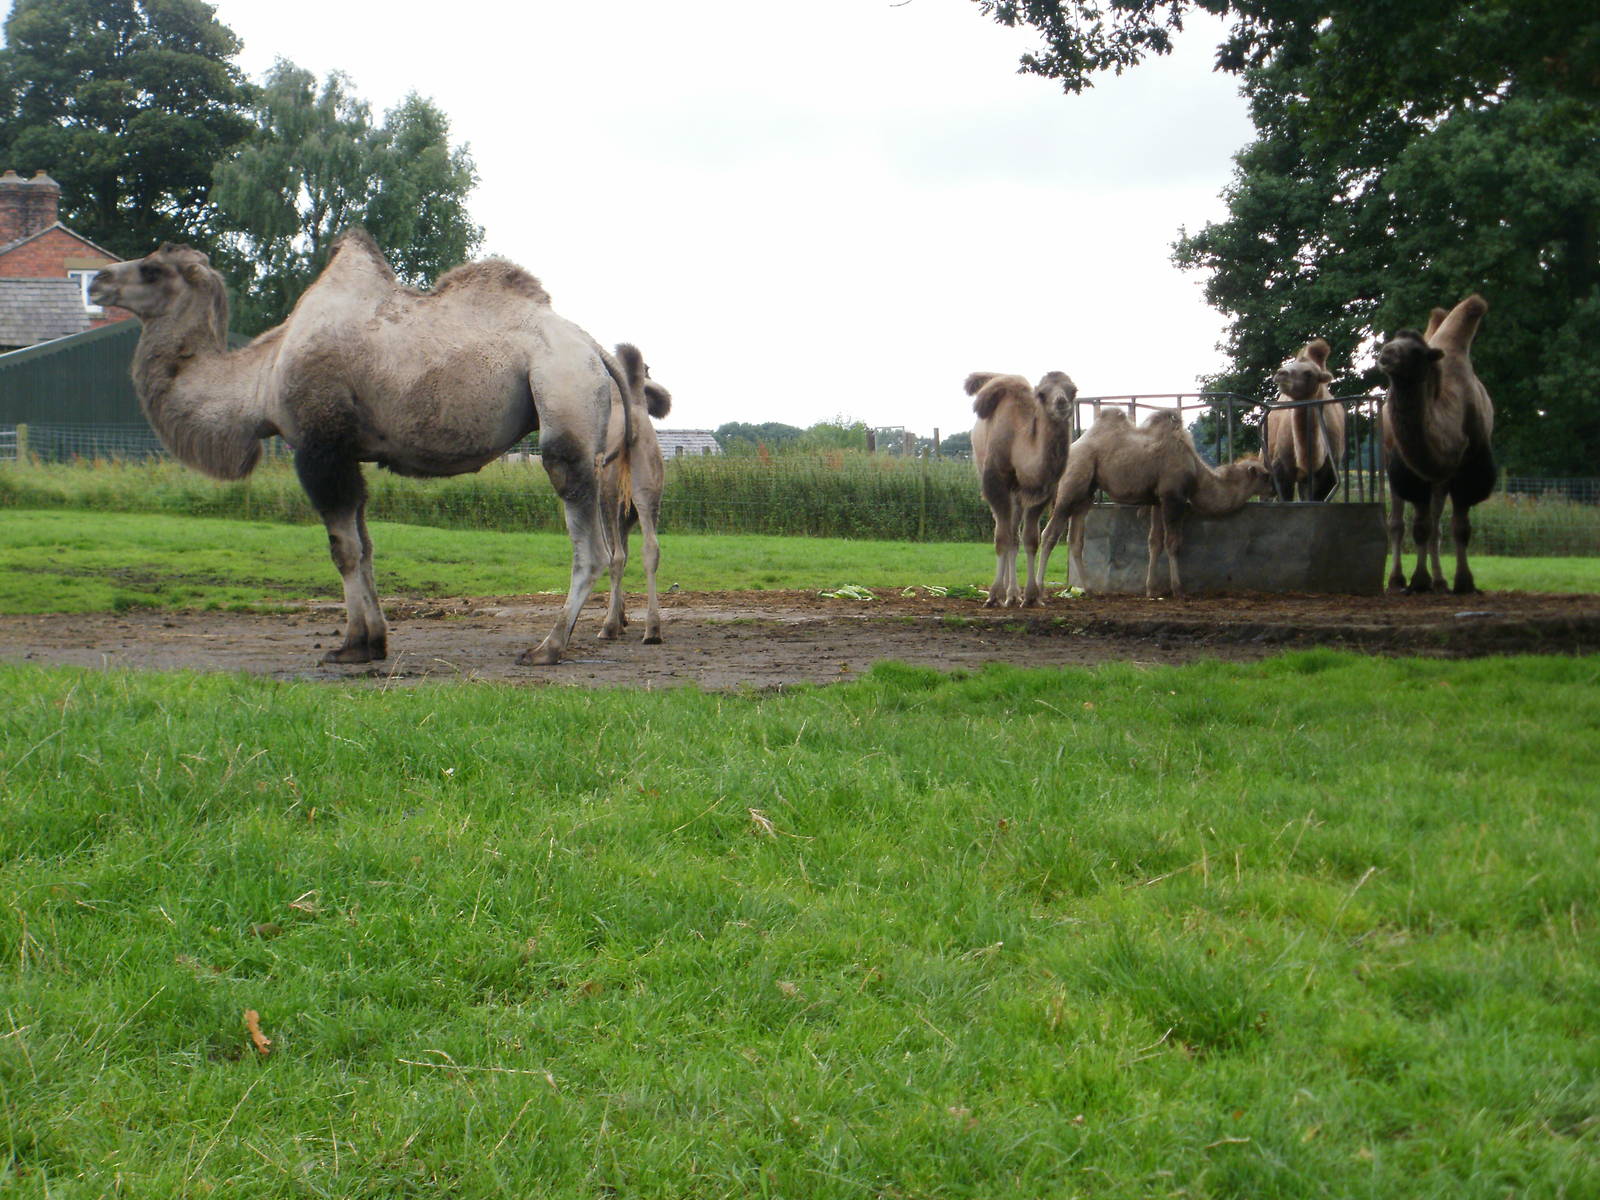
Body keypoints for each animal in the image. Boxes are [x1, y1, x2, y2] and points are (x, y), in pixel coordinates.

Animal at [88, 230, 630, 666]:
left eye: (152, 269)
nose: (96, 281)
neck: (259, 379)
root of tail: (594, 348)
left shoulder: (318, 448)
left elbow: (342, 549)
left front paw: (350, 645)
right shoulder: (349, 454)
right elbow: (366, 546)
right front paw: (374, 641)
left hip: (562, 398)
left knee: (590, 544)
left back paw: (548, 648)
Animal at [968, 369, 1079, 606]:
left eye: (1073, 390)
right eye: (1042, 393)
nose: (1061, 402)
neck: (1018, 442)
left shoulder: (1042, 492)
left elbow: (1030, 540)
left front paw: (1031, 596)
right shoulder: (995, 483)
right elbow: (1001, 538)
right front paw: (993, 595)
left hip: (1017, 495)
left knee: (1014, 534)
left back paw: (1012, 594)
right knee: (1006, 531)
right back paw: (1005, 594)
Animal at [1038, 409, 1273, 598]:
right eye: (1265, 476)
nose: (1273, 486)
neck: (1196, 472)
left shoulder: (1158, 501)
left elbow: (1154, 543)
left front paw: (1151, 590)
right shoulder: (1173, 497)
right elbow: (1173, 542)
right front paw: (1178, 590)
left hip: (1086, 493)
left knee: (1075, 540)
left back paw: (1088, 590)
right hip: (1071, 485)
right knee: (1048, 534)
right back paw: (1037, 591)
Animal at [1377, 294, 1496, 594]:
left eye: (1416, 351)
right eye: (1393, 342)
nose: (1386, 353)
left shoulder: (1468, 468)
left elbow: (1459, 527)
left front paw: (1463, 582)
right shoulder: (1410, 470)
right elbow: (1419, 526)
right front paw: (1418, 581)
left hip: (1441, 480)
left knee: (1438, 523)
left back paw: (1440, 581)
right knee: (1399, 522)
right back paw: (1398, 579)